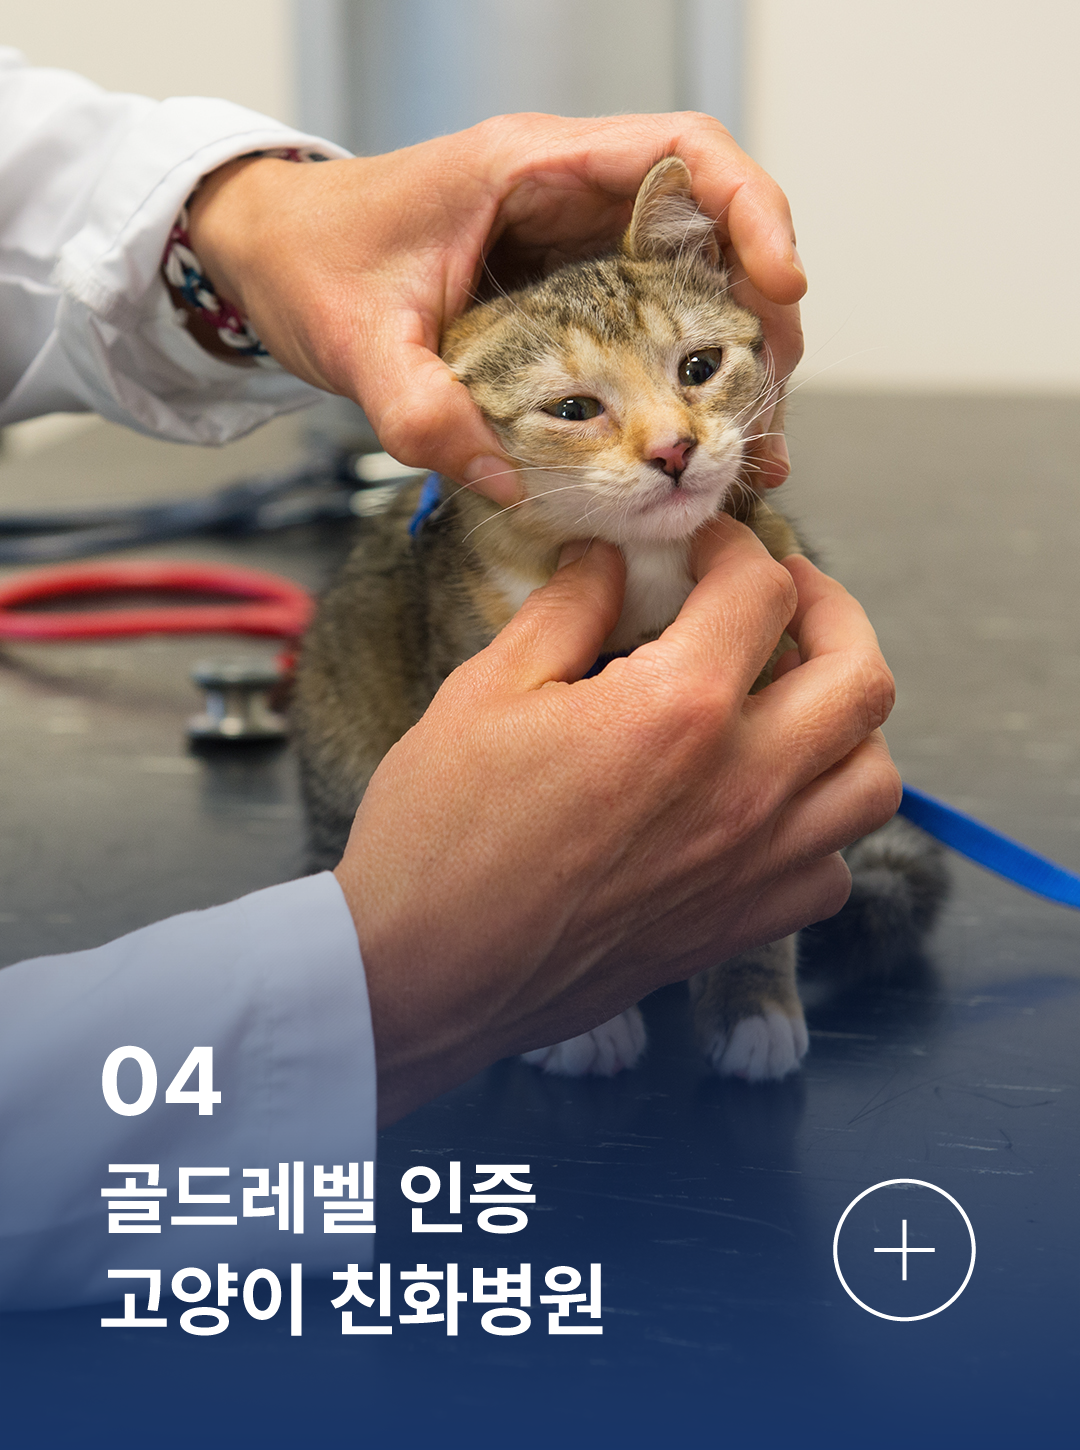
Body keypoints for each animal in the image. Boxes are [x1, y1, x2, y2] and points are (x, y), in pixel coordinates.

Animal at [291, 156, 946, 1083]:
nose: (674, 449)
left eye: (700, 365)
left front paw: (753, 999)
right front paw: (575, 1023)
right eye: (573, 409)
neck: (646, 574)